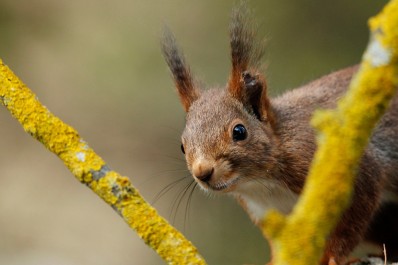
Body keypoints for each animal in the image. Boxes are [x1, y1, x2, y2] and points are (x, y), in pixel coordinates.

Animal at [161, 4, 398, 264]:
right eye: (182, 146)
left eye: (239, 131)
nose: (202, 172)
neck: (262, 184)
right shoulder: (268, 213)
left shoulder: (348, 168)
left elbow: (351, 224)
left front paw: (332, 256)